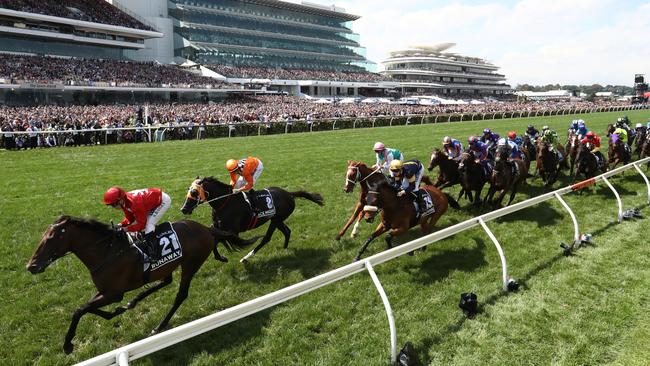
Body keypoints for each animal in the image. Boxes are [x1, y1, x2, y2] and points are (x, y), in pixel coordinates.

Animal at [26, 216, 256, 354]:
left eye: (51, 238)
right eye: (42, 237)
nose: (31, 266)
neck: (107, 252)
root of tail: (207, 229)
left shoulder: (113, 293)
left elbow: (79, 310)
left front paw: (67, 344)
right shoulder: (105, 292)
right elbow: (86, 308)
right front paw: (116, 311)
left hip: (191, 264)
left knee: (181, 294)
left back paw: (159, 326)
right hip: (167, 266)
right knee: (165, 281)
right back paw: (134, 301)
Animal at [180, 177, 322, 264]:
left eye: (194, 192)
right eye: (188, 190)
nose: (184, 209)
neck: (224, 203)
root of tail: (289, 194)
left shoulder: (233, 231)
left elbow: (218, 239)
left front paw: (221, 257)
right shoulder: (218, 227)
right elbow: (213, 236)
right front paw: (221, 257)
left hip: (276, 220)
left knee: (266, 238)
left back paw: (246, 257)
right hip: (277, 219)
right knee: (287, 231)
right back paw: (285, 248)